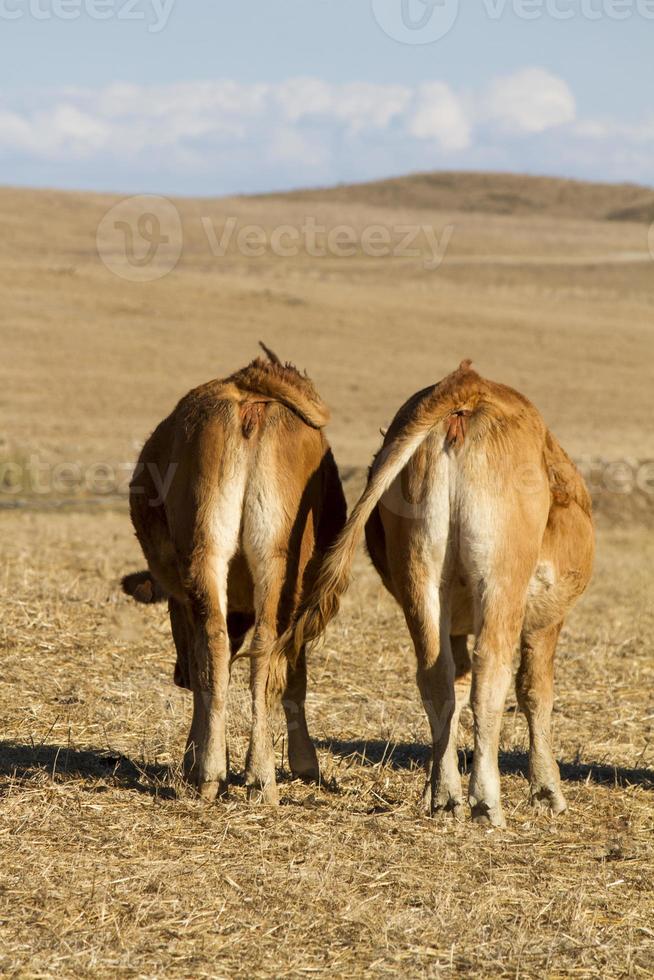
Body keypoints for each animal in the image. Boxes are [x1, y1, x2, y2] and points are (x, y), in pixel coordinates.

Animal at [123, 348, 348, 800]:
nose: (177, 676)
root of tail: (250, 406)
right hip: (270, 562)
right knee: (257, 652)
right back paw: (255, 775)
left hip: (211, 554)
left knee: (217, 648)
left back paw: (217, 773)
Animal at [276, 360, 596, 828]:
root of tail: (468, 390)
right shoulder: (545, 622)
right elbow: (535, 692)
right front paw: (547, 790)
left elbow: (455, 690)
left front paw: (433, 785)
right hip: (501, 581)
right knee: (491, 674)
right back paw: (486, 801)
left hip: (420, 574)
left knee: (435, 675)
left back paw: (445, 795)